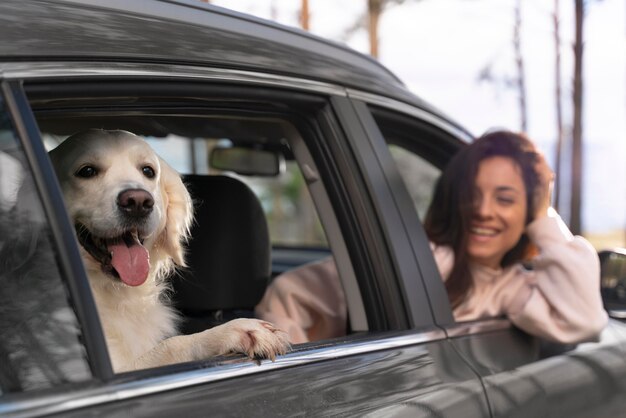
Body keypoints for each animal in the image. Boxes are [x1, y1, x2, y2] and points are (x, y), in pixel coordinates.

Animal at [49, 129, 290, 370]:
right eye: (87, 171)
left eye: (148, 171)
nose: (138, 202)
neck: (116, 293)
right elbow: (172, 345)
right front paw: (235, 330)